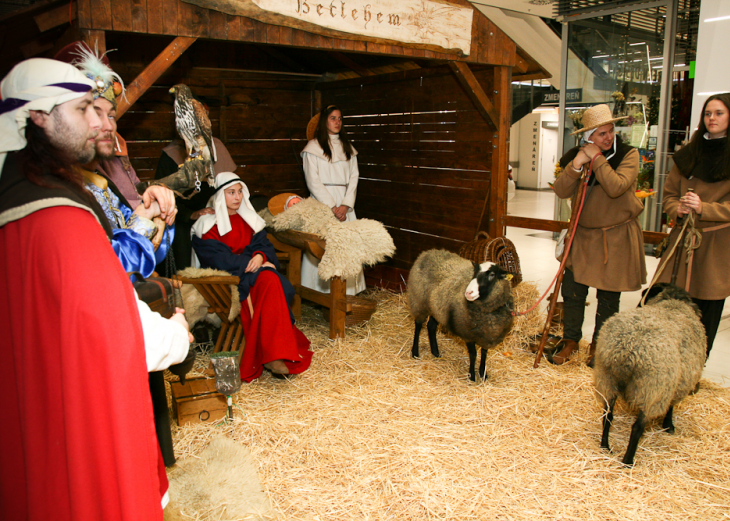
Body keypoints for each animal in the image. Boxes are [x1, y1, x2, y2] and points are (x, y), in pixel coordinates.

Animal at [404, 250, 512, 380]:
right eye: (474, 273)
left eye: (492, 274)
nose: (468, 292)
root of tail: (426, 253)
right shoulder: (468, 333)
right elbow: (473, 354)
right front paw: (472, 376)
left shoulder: (487, 335)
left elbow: (484, 353)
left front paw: (483, 374)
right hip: (419, 300)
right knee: (418, 326)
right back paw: (415, 352)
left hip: (436, 307)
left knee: (431, 326)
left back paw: (435, 352)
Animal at [592, 282, 704, 466]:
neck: (673, 303)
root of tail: (627, 349)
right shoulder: (675, 383)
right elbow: (671, 406)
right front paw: (669, 425)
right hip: (651, 390)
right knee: (637, 427)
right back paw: (628, 461)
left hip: (606, 379)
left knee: (608, 415)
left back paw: (605, 446)